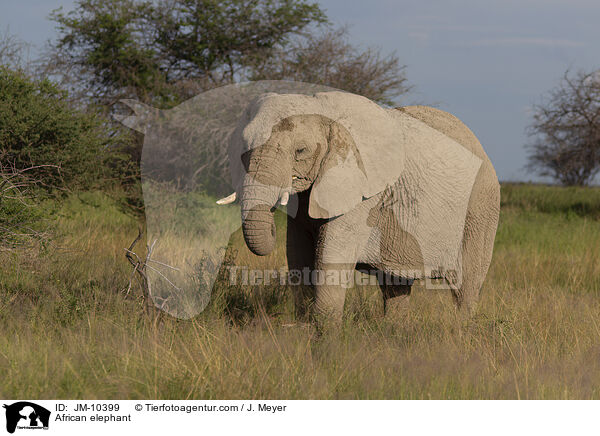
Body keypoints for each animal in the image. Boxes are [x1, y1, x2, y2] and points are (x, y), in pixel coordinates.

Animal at [218, 89, 500, 328]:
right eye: (242, 147)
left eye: (301, 150)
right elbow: (298, 254)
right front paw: (304, 328)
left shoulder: (363, 192)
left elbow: (331, 254)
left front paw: (325, 337)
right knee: (395, 283)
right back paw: (395, 331)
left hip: (480, 206)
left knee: (466, 285)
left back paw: (460, 331)